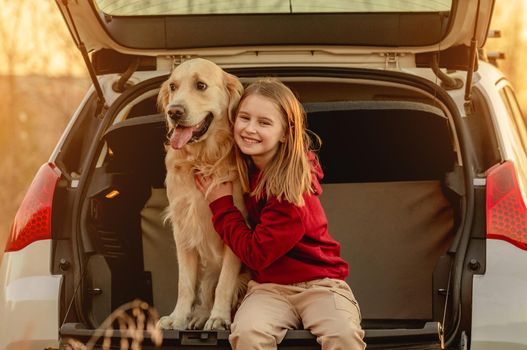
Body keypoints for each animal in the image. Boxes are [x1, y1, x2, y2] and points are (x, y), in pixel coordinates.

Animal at [157, 58, 250, 330]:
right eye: (173, 86)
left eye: (201, 85)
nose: (174, 112)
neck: (202, 159)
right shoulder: (183, 228)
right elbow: (185, 284)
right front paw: (177, 317)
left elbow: (225, 284)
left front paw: (218, 317)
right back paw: (199, 315)